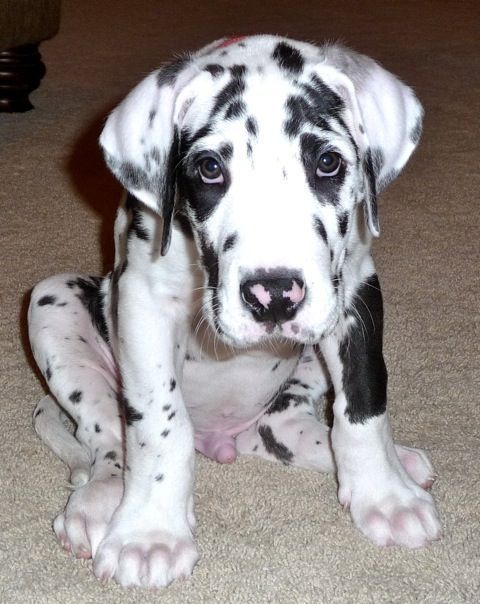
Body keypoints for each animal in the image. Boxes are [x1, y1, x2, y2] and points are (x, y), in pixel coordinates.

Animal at [27, 35, 438, 588]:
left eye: (328, 162)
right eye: (210, 168)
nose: (275, 295)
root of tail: (223, 437)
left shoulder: (356, 289)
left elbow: (364, 403)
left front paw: (386, 495)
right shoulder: (142, 304)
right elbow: (159, 426)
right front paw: (151, 534)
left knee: (284, 426)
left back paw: (394, 461)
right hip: (54, 303)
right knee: (109, 438)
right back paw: (99, 502)